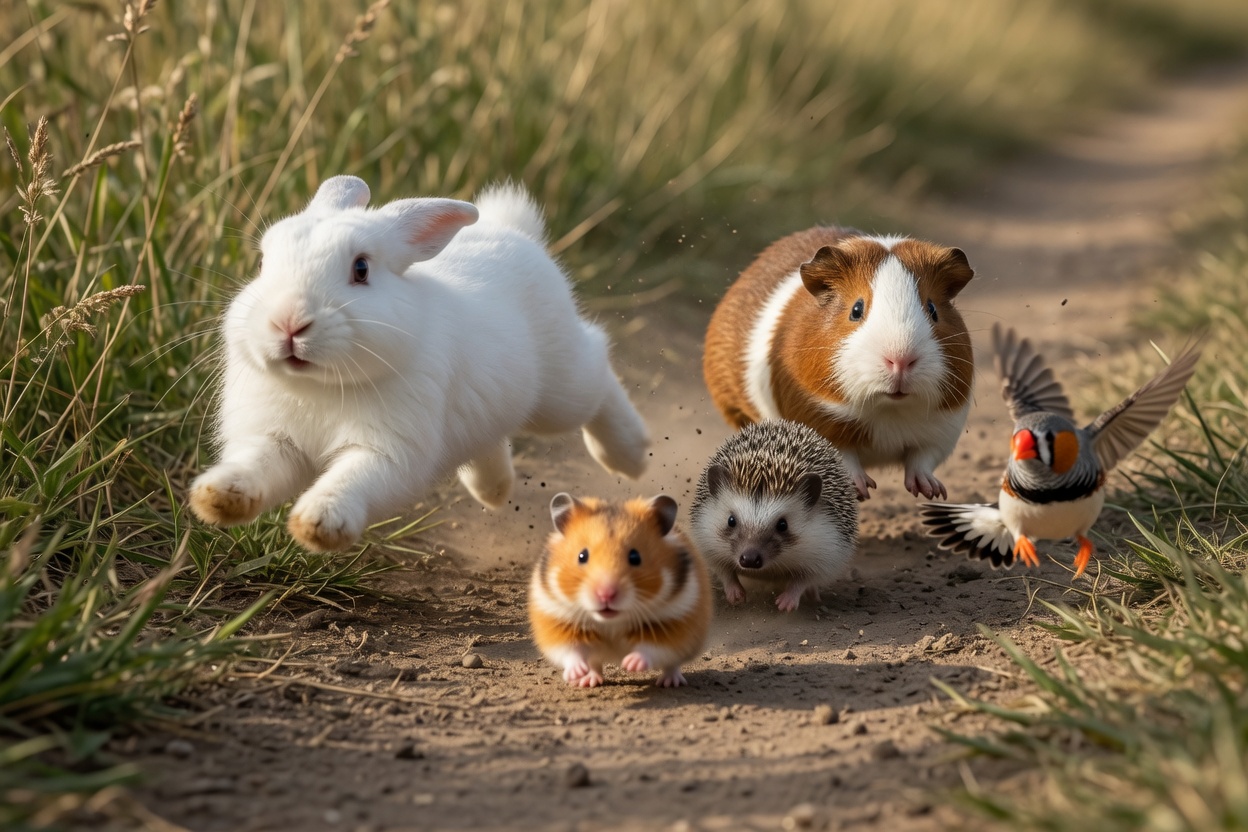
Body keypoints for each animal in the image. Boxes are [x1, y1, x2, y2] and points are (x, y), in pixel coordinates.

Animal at [528, 493, 712, 688]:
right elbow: (571, 651)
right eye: (582, 556)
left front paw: (630, 664)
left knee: (671, 664)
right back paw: (588, 680)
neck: (612, 621)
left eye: (635, 557)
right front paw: (575, 674)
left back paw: (669, 682)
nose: (606, 595)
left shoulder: (674, 623)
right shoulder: (557, 620)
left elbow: (650, 649)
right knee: (594, 663)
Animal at [689, 420, 859, 612]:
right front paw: (734, 592)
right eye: (731, 520)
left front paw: (788, 600)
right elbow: (721, 568)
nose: (749, 559)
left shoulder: (829, 545)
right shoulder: (706, 536)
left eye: (783, 525)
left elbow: (806, 578)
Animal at [702, 226, 975, 501]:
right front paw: (861, 490)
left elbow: (922, 460)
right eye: (856, 309)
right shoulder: (819, 420)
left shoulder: (942, 428)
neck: (887, 411)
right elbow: (844, 458)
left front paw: (932, 492)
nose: (900, 359)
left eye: (932, 309)